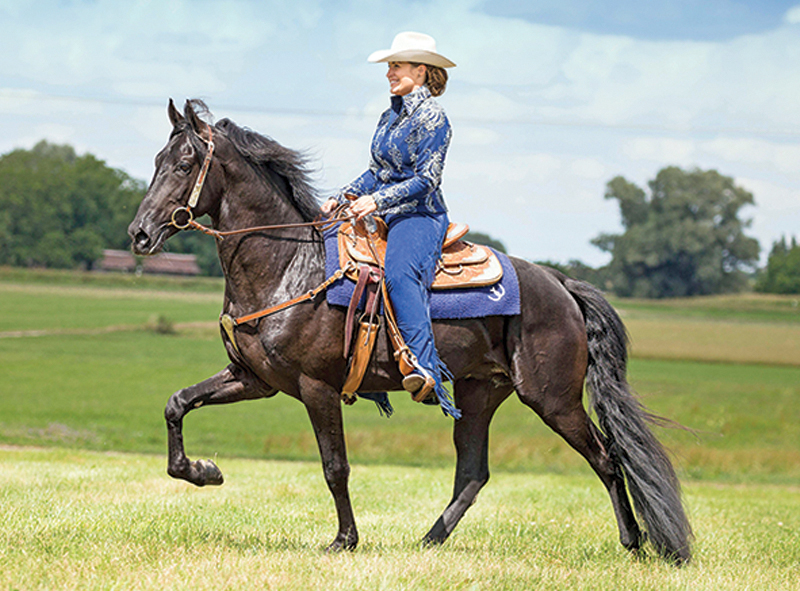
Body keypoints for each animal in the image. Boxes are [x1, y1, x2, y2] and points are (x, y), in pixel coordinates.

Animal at [128, 99, 692, 563]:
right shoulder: (253, 378)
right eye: (156, 161)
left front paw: (344, 541)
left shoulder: (316, 387)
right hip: (480, 393)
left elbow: (335, 466)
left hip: (553, 398)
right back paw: (427, 541)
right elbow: (177, 404)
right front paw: (204, 471)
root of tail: (559, 282)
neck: (290, 265)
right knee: (474, 473)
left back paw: (635, 543)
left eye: (183, 165)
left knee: (606, 458)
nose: (139, 234)